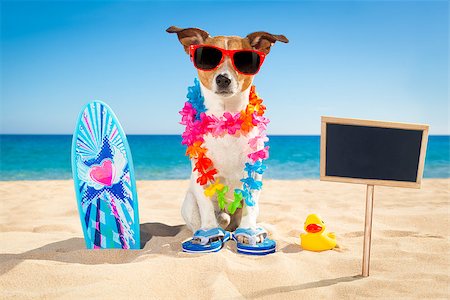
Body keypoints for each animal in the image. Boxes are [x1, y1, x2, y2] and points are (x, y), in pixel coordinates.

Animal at [166, 25, 288, 251]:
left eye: (244, 60)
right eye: (208, 57)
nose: (223, 79)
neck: (225, 119)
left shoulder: (254, 173)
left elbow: (250, 206)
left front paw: (249, 232)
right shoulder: (201, 174)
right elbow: (206, 207)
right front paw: (209, 232)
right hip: (189, 204)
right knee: (210, 219)